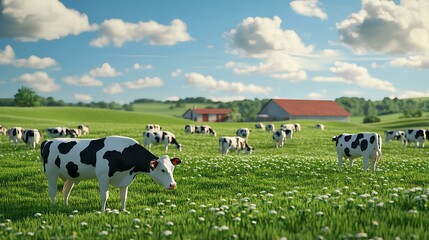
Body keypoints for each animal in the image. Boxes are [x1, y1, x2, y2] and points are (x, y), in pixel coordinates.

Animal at [40, 135, 181, 212]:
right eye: (162, 170)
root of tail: (48, 141)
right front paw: (102, 211)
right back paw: (54, 206)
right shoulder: (103, 177)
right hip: (51, 172)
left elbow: (124, 197)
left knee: (66, 191)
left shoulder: (125, 179)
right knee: (52, 191)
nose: (173, 184)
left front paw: (124, 211)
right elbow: (104, 196)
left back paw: (66, 206)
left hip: (71, 176)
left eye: (172, 168)